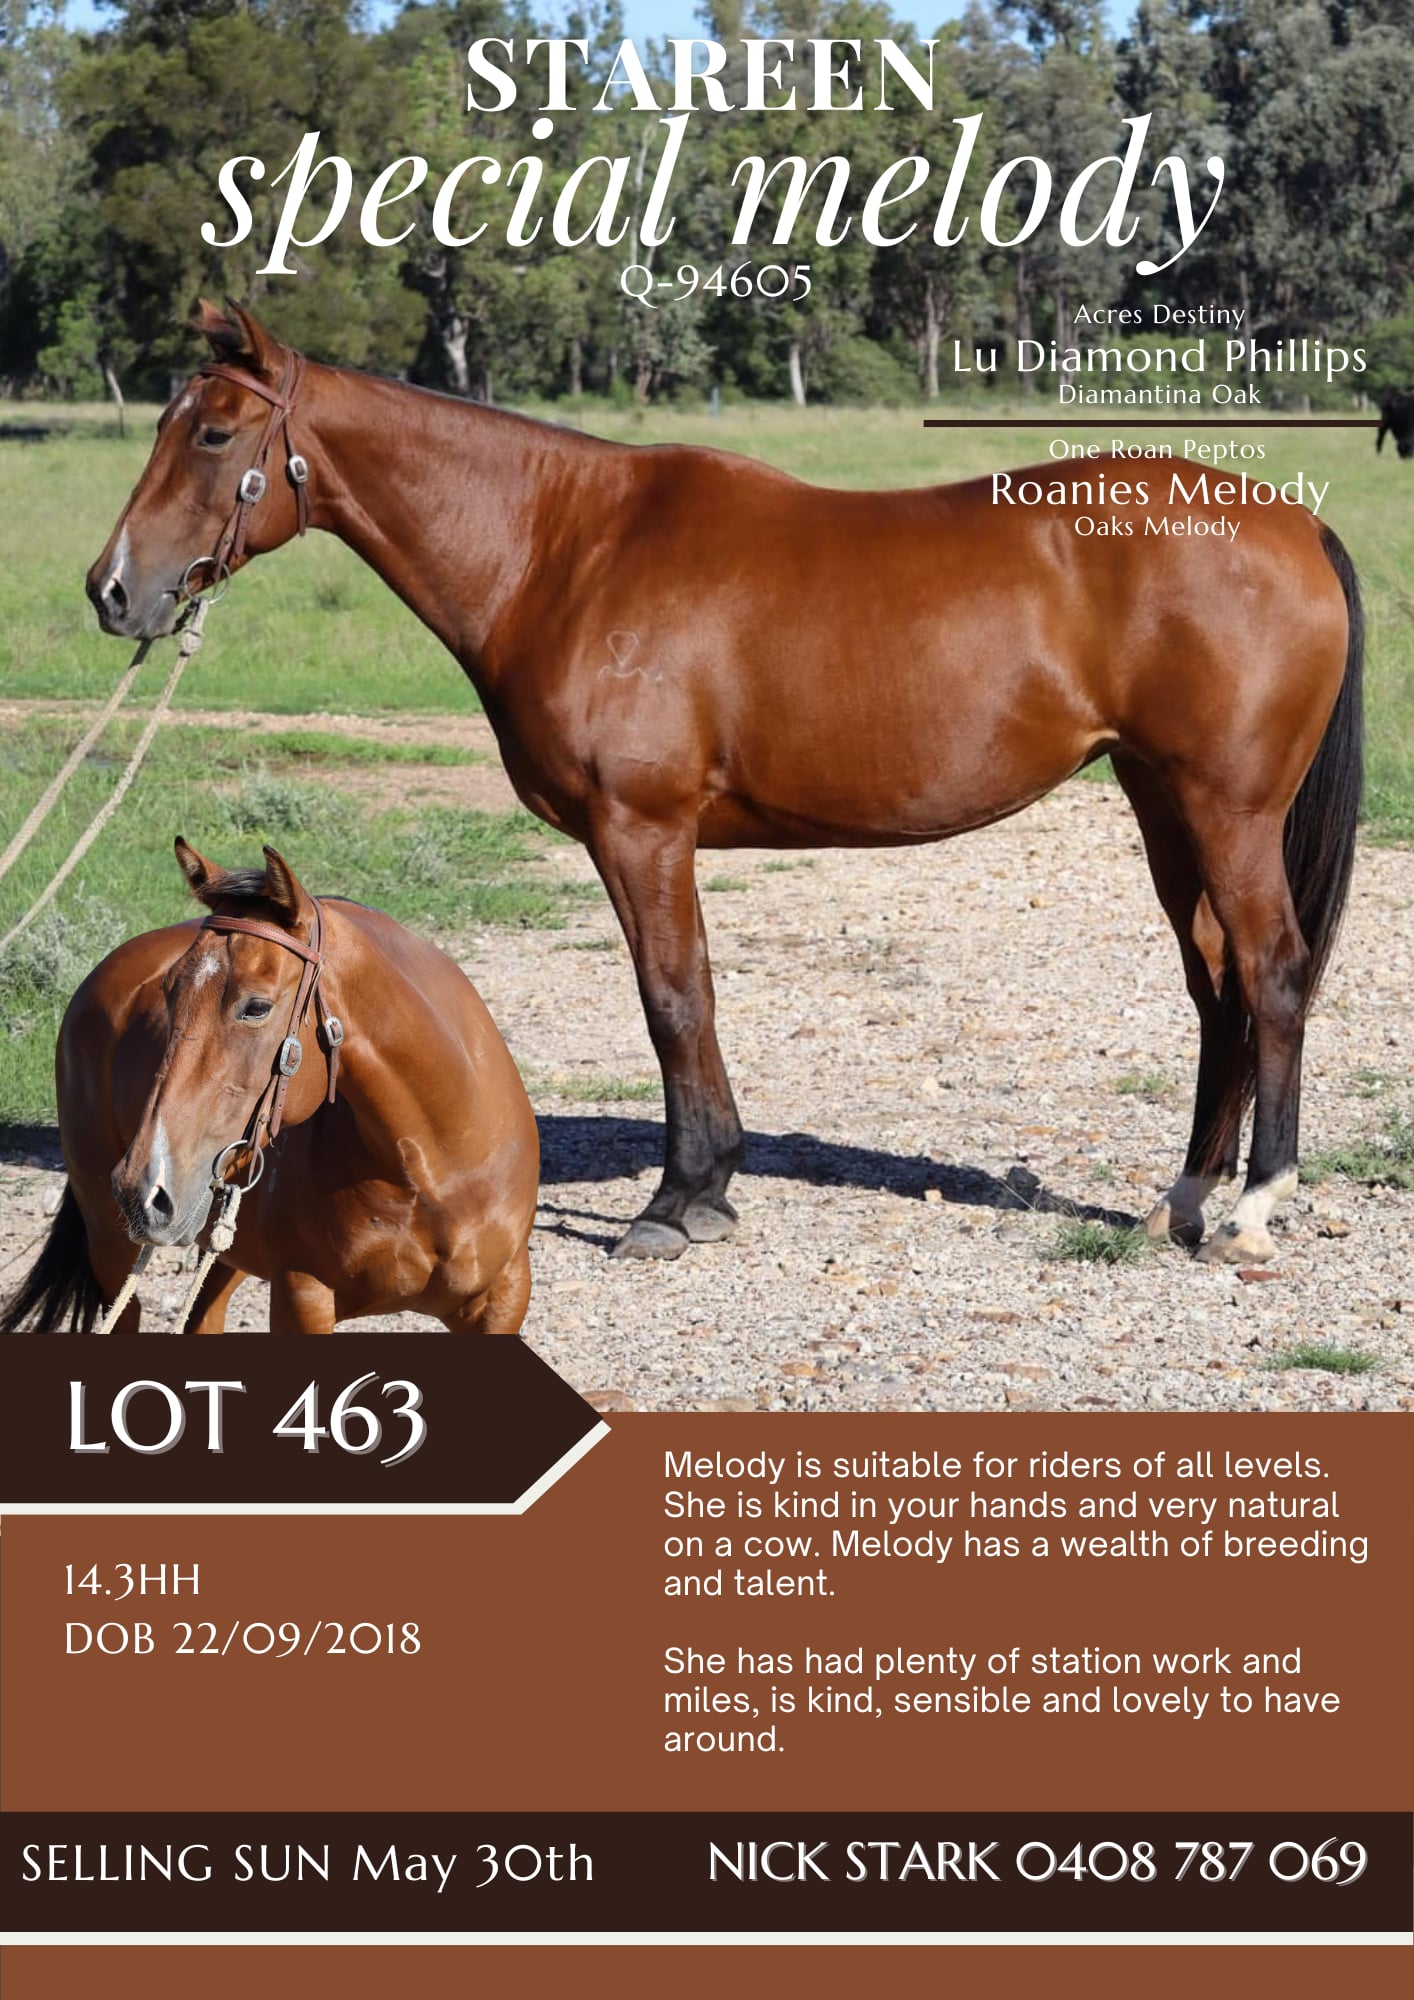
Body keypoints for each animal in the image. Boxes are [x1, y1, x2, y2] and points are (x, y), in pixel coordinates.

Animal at [1, 838, 539, 1333]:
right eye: (169, 993)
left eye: (256, 1007)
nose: (141, 1187)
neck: (435, 1168)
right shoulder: (303, 1298)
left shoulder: (503, 1298)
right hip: (112, 1247)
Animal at [85, 300, 1364, 1270]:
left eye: (214, 432)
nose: (113, 589)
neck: (563, 547)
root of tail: (1294, 525)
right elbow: (687, 994)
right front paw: (706, 1186)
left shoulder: (639, 829)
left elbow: (673, 997)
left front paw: (680, 1197)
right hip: (1163, 806)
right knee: (1216, 990)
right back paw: (1183, 1198)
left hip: (1227, 813)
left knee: (1271, 974)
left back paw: (1254, 1206)